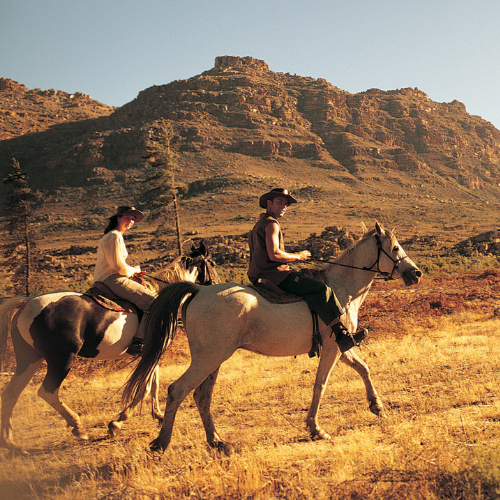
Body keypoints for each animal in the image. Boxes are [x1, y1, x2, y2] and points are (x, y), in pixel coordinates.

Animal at [0, 240, 219, 452]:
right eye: (213, 263)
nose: (216, 286)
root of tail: (27, 303)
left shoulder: (151, 352)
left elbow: (153, 384)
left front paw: (157, 415)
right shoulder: (154, 351)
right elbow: (145, 387)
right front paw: (118, 422)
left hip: (30, 359)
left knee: (11, 394)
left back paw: (10, 442)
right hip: (62, 359)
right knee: (47, 391)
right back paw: (78, 427)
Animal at [121, 223, 422, 454]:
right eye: (395, 248)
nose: (416, 273)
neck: (341, 289)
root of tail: (198, 290)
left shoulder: (341, 345)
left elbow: (364, 368)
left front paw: (377, 406)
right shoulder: (332, 348)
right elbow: (321, 385)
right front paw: (315, 428)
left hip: (212, 360)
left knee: (201, 396)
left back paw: (218, 442)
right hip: (209, 358)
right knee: (178, 390)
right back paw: (161, 443)